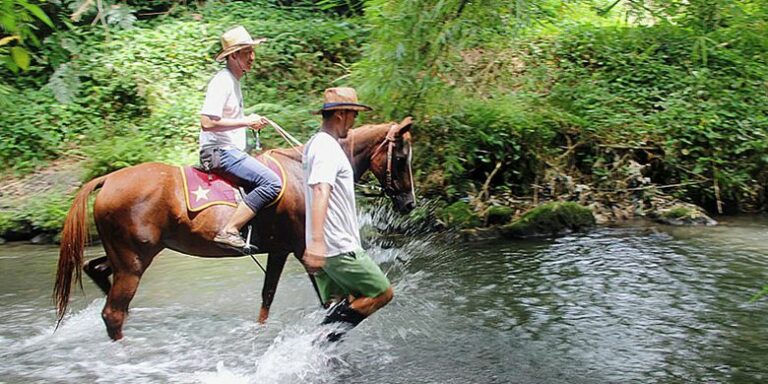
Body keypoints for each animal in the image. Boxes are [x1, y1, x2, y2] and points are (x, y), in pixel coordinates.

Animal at [54, 116, 414, 340]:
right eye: (400, 159)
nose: (409, 203)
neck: (306, 172)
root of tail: (108, 179)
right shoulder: (303, 249)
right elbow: (329, 298)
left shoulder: (280, 251)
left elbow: (267, 298)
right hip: (134, 262)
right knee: (113, 313)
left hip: (125, 254)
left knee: (95, 270)